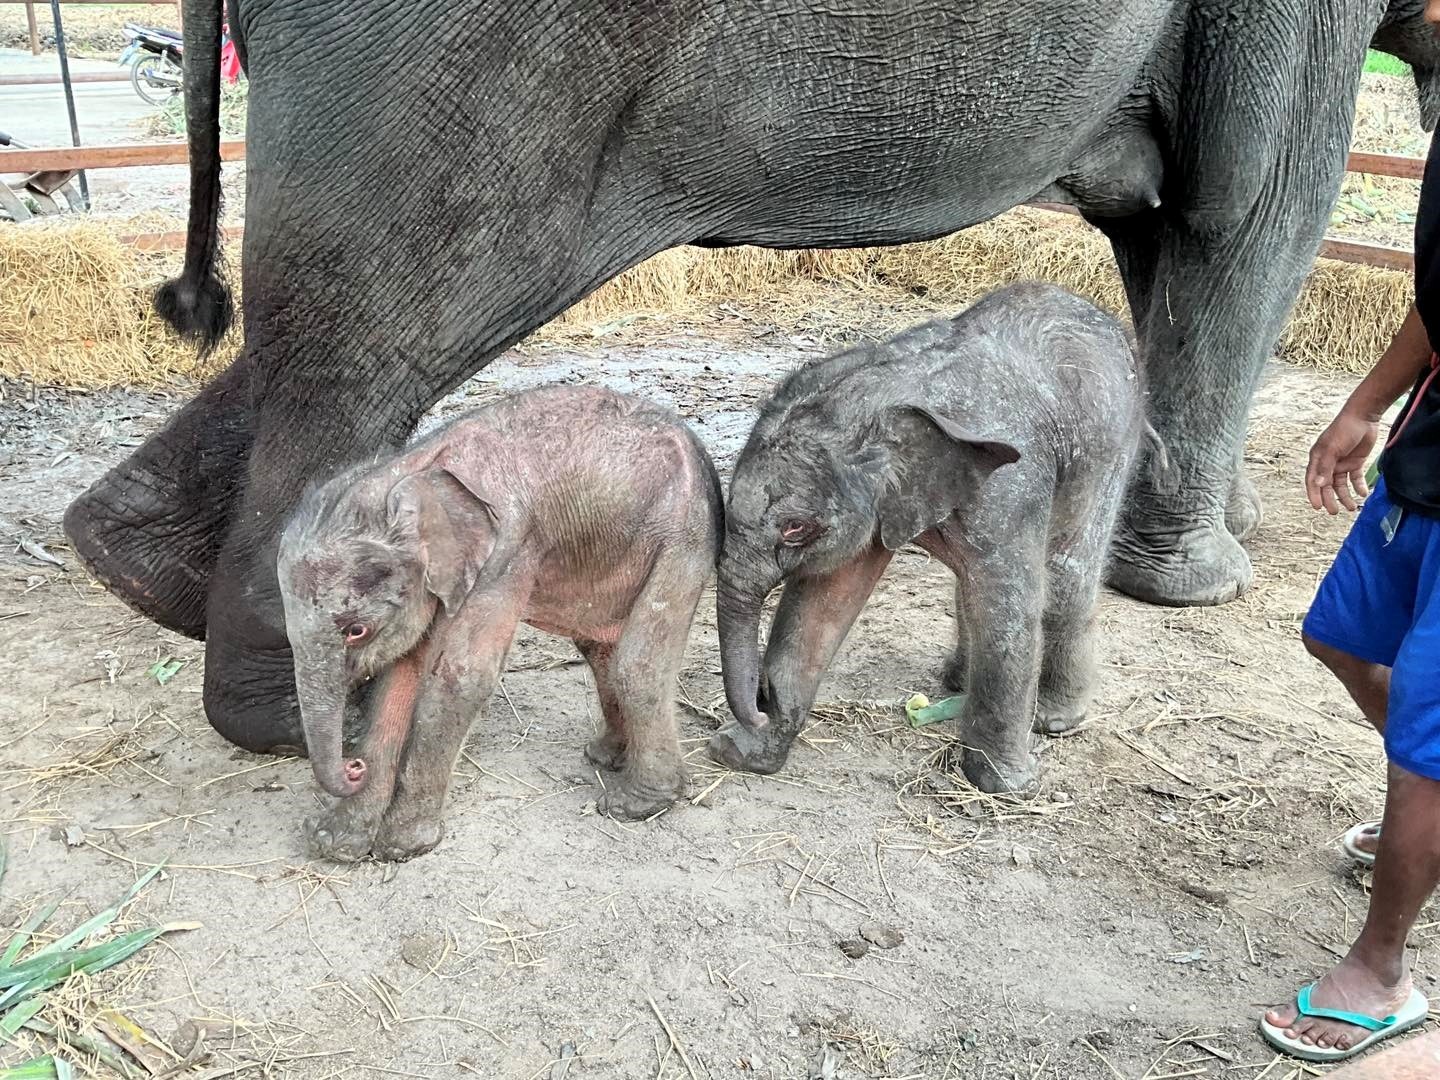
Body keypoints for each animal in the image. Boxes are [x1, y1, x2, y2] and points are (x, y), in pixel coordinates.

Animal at [714, 283, 1163, 800]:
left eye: (794, 528)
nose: (757, 707)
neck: (885, 394)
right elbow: (822, 604)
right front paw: (745, 753)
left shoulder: (1010, 488)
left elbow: (1010, 612)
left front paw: (1005, 788)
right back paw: (955, 683)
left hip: (1110, 449)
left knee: (1068, 576)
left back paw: (1053, 719)